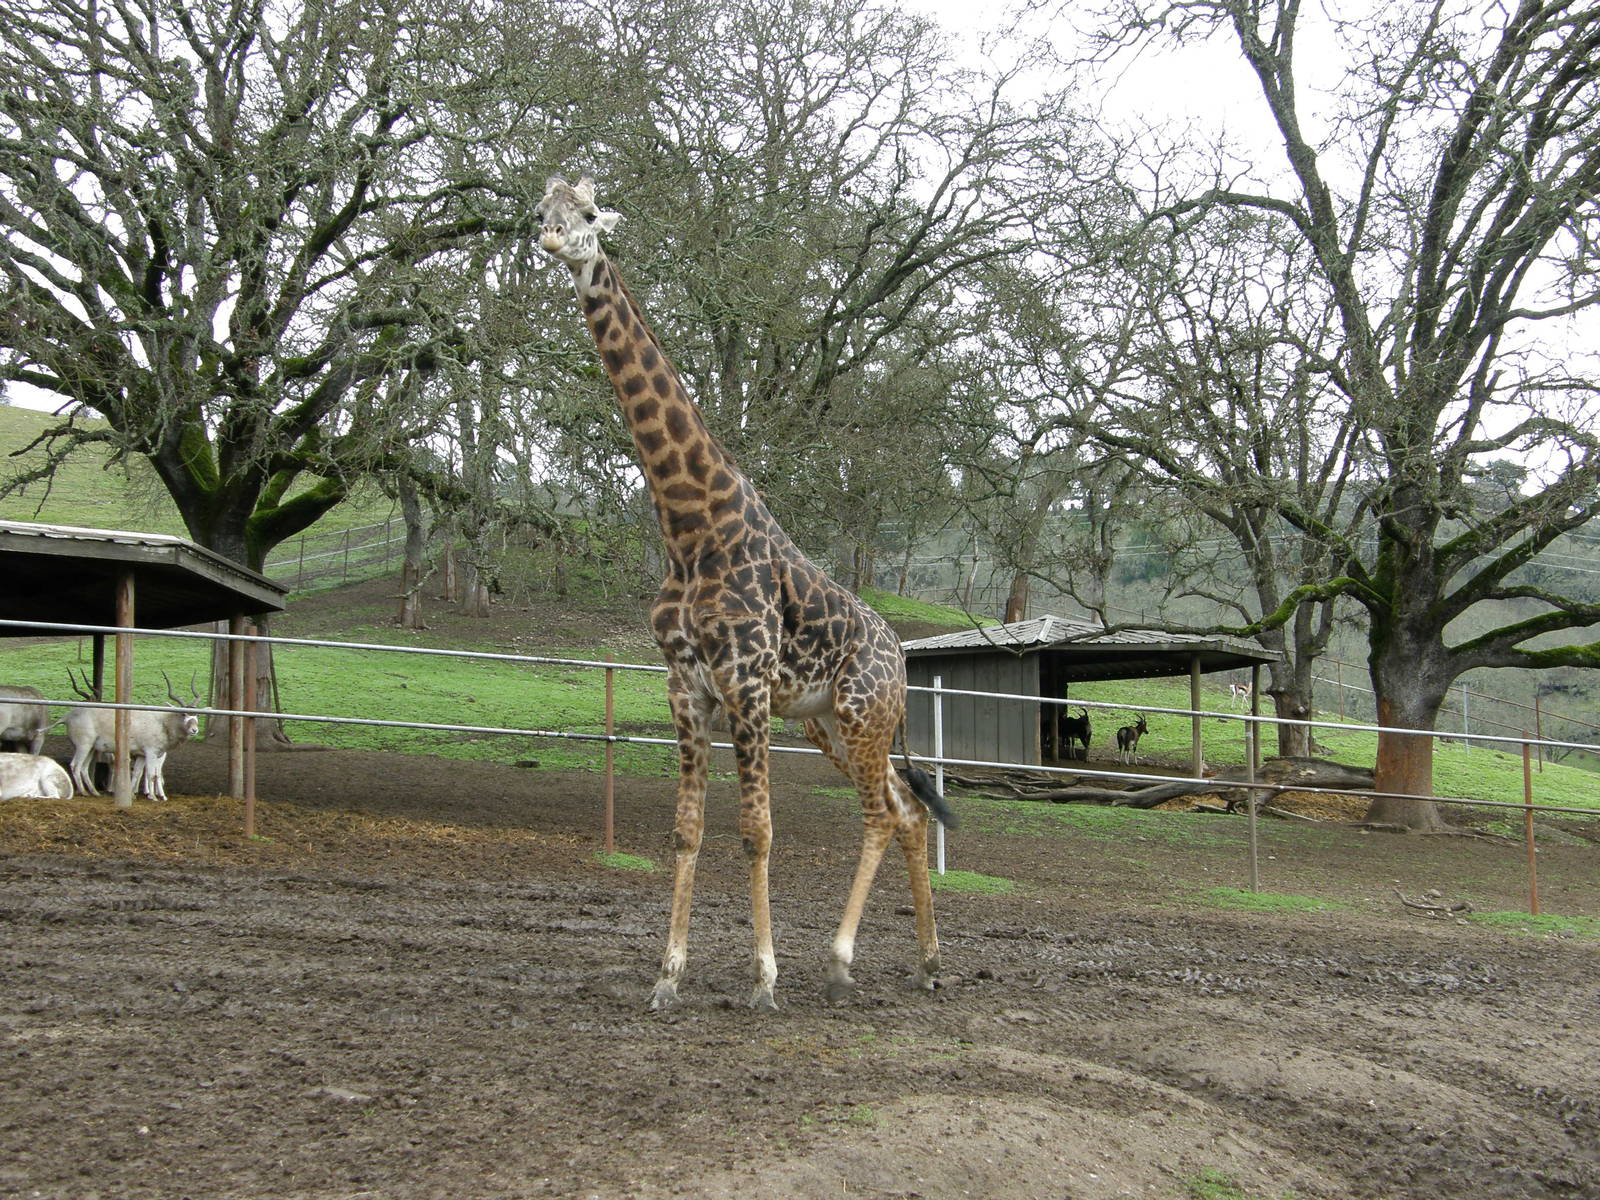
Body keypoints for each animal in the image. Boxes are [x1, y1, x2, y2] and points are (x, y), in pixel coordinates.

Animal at [537, 175, 956, 1011]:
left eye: (590, 214)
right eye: (543, 205)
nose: (551, 237)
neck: (689, 523)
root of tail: (900, 655)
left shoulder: (747, 680)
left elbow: (757, 830)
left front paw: (763, 978)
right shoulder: (686, 684)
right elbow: (687, 829)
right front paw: (667, 977)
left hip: (860, 716)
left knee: (881, 813)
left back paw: (839, 960)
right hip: (829, 725)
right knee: (905, 813)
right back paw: (925, 963)